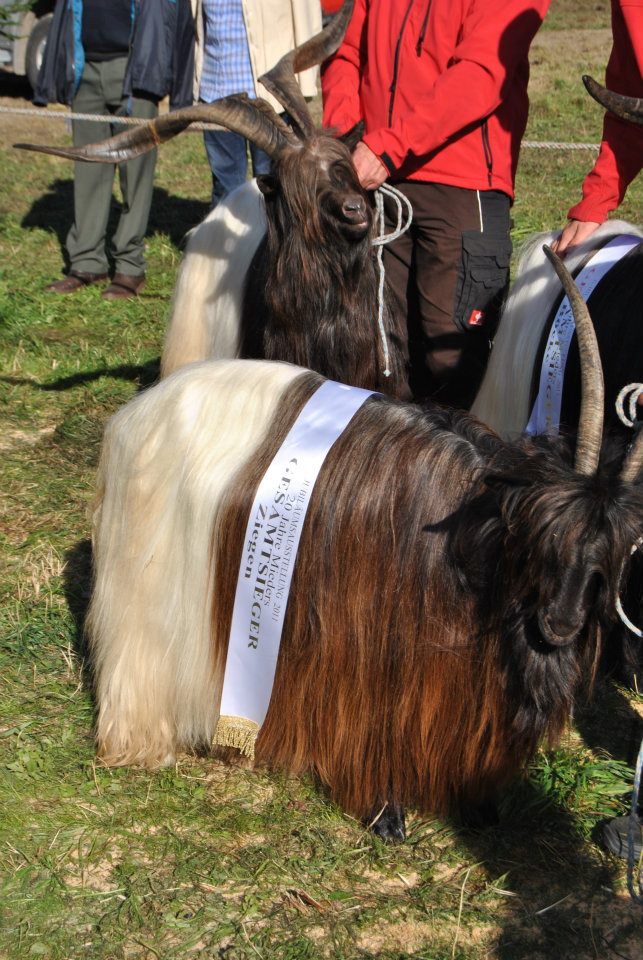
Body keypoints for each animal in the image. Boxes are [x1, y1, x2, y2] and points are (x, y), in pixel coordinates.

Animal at [88, 253, 643, 840]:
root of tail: (136, 415)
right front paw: (386, 811)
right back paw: (143, 742)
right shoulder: (369, 645)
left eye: (611, 555)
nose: (561, 624)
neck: (473, 531)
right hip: (152, 575)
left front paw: (476, 808)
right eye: (544, 536)